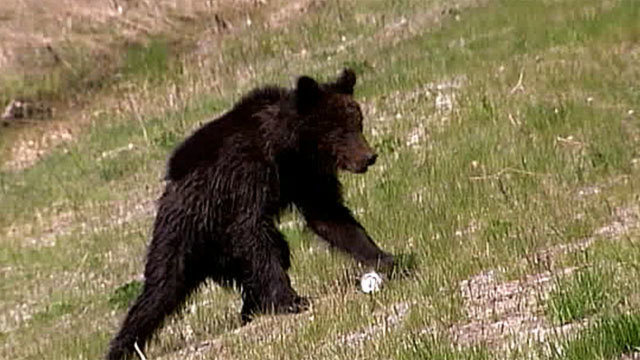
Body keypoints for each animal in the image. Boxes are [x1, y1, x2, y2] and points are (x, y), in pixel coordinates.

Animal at [107, 69, 392, 358]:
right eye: (339, 129)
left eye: (358, 122)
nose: (369, 156)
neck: (286, 148)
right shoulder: (246, 173)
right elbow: (251, 229)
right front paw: (292, 300)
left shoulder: (304, 176)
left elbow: (331, 217)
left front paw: (386, 259)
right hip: (183, 231)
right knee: (160, 289)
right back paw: (123, 345)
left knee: (273, 253)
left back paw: (251, 308)